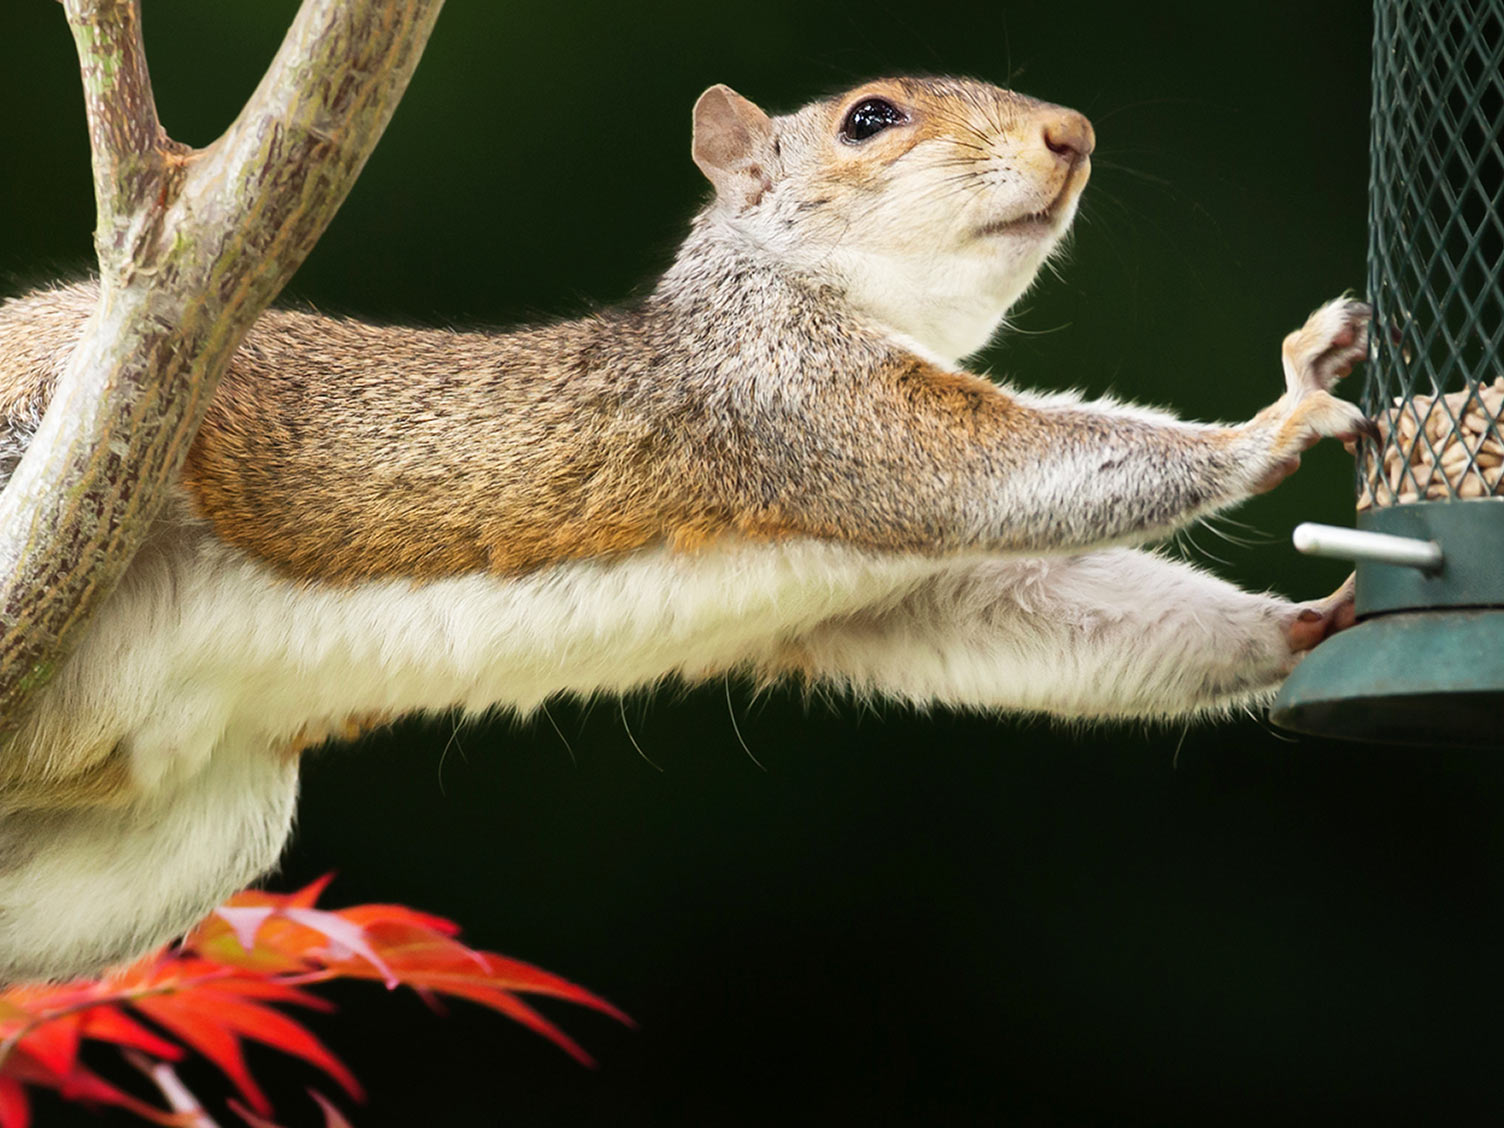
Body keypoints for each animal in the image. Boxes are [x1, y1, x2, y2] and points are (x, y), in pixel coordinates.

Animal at [0, 76, 1369, 982]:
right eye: (869, 118)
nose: (1072, 136)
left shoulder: (904, 586)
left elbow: (1032, 613)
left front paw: (1319, 621)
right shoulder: (799, 411)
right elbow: (1008, 466)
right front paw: (1279, 419)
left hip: (192, 826)